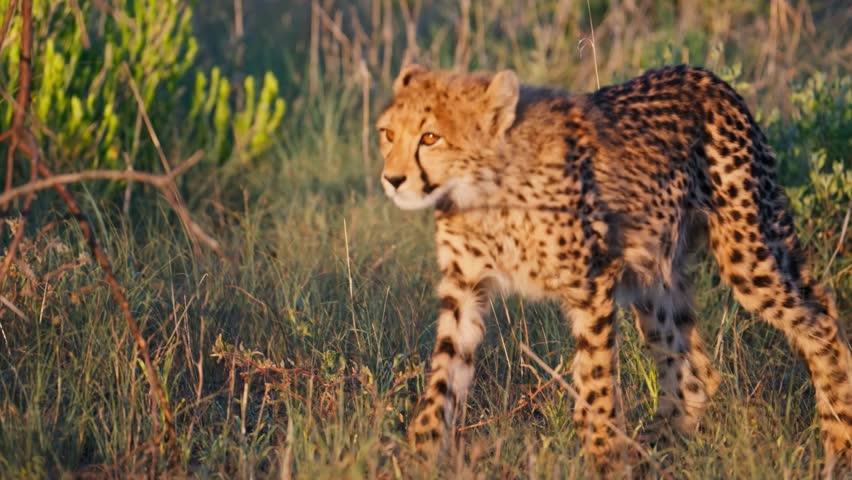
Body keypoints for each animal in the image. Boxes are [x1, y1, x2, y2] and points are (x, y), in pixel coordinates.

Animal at [375, 63, 852, 475]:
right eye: (388, 134)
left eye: (431, 137)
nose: (392, 180)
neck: (483, 190)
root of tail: (705, 75)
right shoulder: (465, 291)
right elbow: (441, 382)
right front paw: (417, 458)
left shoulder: (591, 287)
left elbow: (596, 386)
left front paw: (604, 460)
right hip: (652, 279)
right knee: (694, 377)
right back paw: (653, 452)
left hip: (748, 253)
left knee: (820, 319)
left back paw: (838, 439)